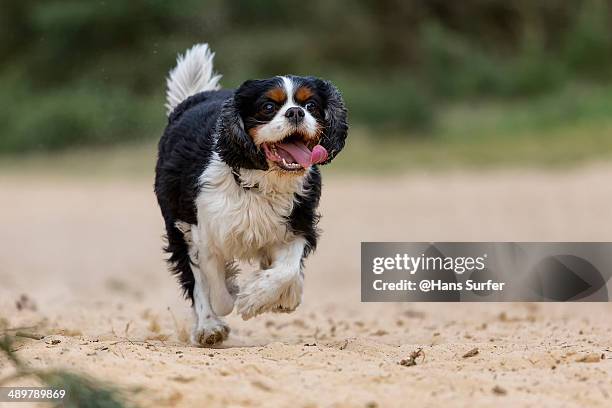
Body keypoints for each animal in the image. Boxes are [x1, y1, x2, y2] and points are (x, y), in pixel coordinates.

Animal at [155, 43, 346, 344]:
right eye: (268, 107)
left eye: (311, 105)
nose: (296, 112)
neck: (261, 180)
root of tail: (193, 99)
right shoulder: (204, 233)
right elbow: (214, 290)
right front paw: (233, 298)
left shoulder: (298, 222)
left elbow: (287, 270)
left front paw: (260, 297)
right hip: (177, 224)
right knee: (195, 281)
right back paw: (209, 327)